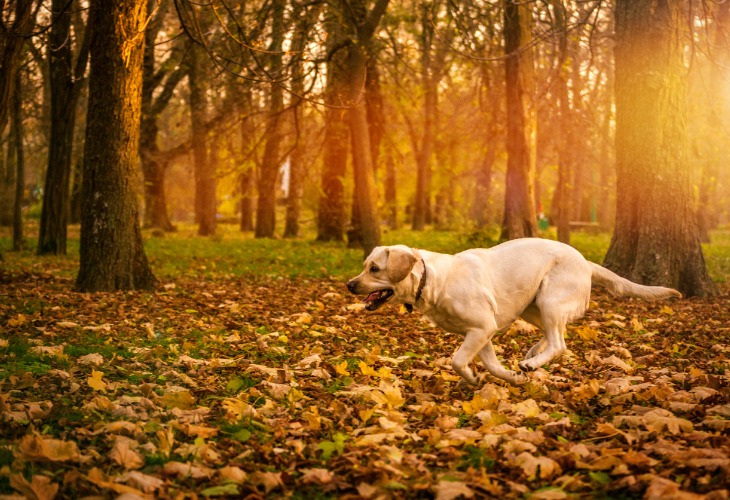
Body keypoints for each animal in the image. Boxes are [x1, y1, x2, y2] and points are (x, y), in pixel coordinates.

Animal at [344, 238, 680, 386]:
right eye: (363, 266)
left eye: (374, 269)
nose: (349, 284)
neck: (434, 280)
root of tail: (585, 262)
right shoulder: (482, 333)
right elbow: (491, 366)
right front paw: (509, 378)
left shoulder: (481, 329)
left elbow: (456, 361)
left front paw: (473, 376)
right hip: (533, 306)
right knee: (552, 335)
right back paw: (531, 355)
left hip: (550, 300)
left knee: (560, 343)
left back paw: (532, 362)